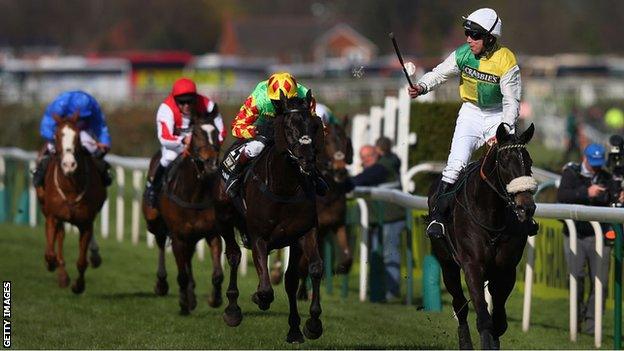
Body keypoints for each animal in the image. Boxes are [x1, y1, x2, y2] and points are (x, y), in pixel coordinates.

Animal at [36, 113, 106, 294]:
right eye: (56, 136)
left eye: (78, 137)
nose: (69, 164)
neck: (70, 187)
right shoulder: (52, 217)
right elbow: (50, 252)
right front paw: (52, 264)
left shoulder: (86, 223)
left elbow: (82, 262)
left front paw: (78, 286)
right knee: (59, 237)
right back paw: (61, 275)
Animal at [143, 113, 240, 316]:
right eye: (195, 134)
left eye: (216, 133)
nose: (211, 162)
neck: (194, 193)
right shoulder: (178, 236)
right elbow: (181, 275)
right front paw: (183, 303)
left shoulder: (212, 233)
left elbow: (217, 274)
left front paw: (214, 299)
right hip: (155, 221)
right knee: (161, 243)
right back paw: (162, 284)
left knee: (188, 259)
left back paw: (192, 295)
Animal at [432, 123, 540, 350]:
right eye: (504, 162)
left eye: (529, 162)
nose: (526, 207)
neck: (492, 217)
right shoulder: (472, 265)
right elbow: (483, 316)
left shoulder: (506, 270)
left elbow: (499, 320)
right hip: (447, 264)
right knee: (460, 304)